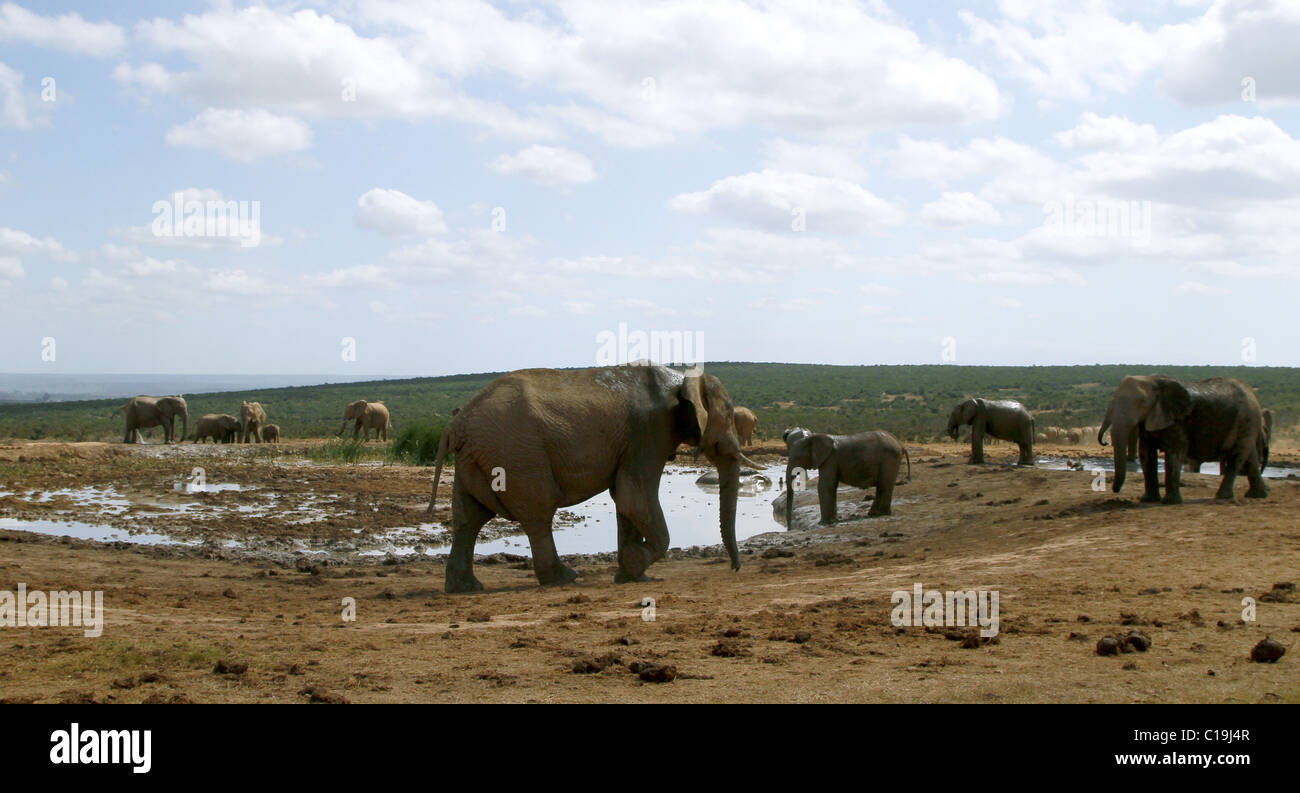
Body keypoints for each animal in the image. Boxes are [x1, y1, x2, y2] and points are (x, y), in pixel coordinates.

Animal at [426, 361, 759, 590]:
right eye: (729, 416)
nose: (734, 569)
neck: (683, 377)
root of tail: (456, 424)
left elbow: (624, 501)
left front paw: (630, 575)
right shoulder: (649, 432)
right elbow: (634, 497)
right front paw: (634, 564)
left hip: (474, 458)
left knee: (468, 519)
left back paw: (466, 588)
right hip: (516, 455)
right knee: (537, 514)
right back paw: (564, 579)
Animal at [780, 428, 915, 527]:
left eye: (797, 458)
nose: (789, 528)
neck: (813, 438)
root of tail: (900, 444)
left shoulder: (830, 459)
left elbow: (825, 485)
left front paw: (824, 523)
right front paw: (832, 521)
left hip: (890, 459)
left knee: (885, 485)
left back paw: (880, 513)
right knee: (882, 486)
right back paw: (874, 514)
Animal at [1097, 374, 1268, 499]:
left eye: (1141, 402)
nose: (1115, 490)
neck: (1152, 380)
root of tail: (1253, 395)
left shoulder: (1176, 420)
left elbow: (1174, 453)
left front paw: (1170, 502)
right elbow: (1146, 454)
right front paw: (1147, 500)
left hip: (1247, 419)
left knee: (1236, 457)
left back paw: (1222, 497)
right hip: (1248, 424)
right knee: (1250, 457)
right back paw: (1257, 495)